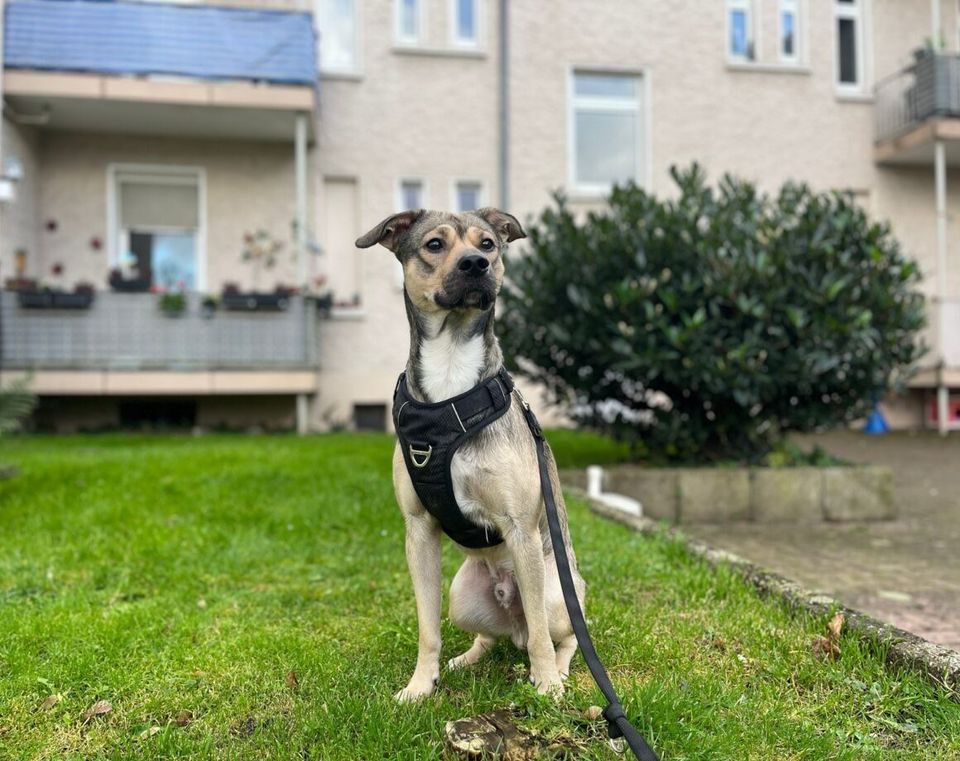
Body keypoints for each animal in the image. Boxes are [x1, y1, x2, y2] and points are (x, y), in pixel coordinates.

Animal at [356, 209, 584, 700]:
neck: (451, 369)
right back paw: (467, 658)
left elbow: (541, 635)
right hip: (463, 596)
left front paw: (546, 684)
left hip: (559, 593)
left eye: (488, 243)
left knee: (560, 632)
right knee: (490, 635)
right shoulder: (418, 531)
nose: (476, 264)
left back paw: (557, 669)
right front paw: (421, 685)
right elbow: (427, 627)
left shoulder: (520, 530)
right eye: (434, 245)